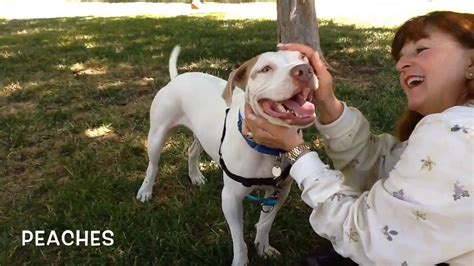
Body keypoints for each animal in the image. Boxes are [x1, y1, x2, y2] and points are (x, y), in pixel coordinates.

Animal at [139, 44, 320, 264]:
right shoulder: (231, 199)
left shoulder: (280, 192)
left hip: (202, 135)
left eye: (303, 57)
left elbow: (265, 223)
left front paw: (263, 247)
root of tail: (178, 78)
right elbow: (239, 239)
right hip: (157, 135)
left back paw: (195, 177)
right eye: (266, 68)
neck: (266, 148)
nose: (304, 70)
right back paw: (145, 191)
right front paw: (241, 261)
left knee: (192, 152)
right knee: (153, 166)